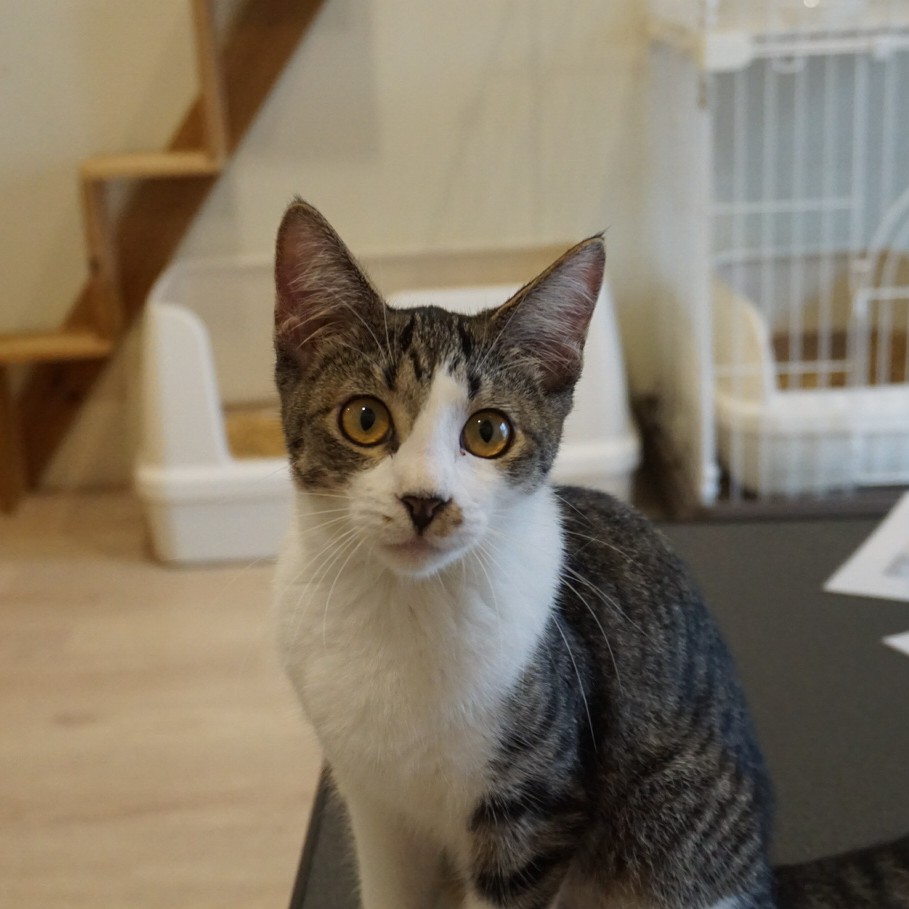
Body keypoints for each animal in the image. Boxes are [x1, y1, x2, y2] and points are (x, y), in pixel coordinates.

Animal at [272, 198, 909, 909]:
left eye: (489, 432)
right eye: (364, 419)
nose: (425, 500)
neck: (403, 608)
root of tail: (765, 877)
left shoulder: (536, 804)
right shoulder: (374, 801)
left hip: (670, 829)